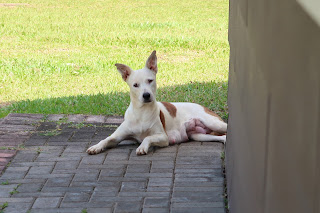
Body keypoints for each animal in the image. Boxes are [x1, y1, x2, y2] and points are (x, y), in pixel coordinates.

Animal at [87, 50, 228, 156]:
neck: (142, 112)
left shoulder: (163, 137)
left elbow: (148, 137)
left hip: (213, 123)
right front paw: (96, 146)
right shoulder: (117, 136)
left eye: (150, 80)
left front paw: (142, 147)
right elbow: (106, 139)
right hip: (198, 135)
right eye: (135, 85)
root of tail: (202, 106)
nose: (146, 95)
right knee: (222, 137)